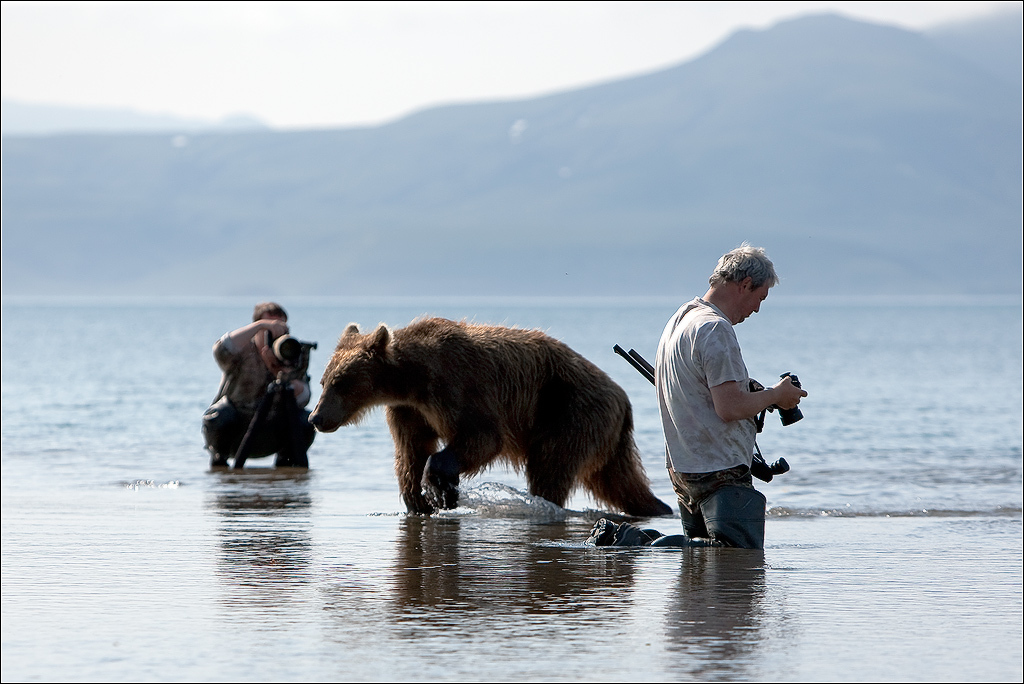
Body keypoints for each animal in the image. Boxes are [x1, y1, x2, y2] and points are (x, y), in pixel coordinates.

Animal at [309, 317, 671, 516]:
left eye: (341, 382)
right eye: (323, 381)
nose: (316, 417)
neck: (411, 380)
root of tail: (623, 399)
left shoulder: (457, 387)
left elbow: (482, 437)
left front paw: (438, 485)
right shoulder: (408, 411)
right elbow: (411, 450)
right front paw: (418, 498)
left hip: (569, 407)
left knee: (552, 464)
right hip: (598, 431)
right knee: (617, 479)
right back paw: (656, 506)